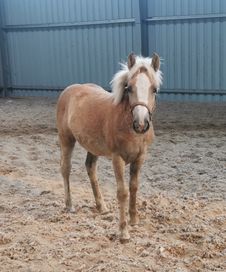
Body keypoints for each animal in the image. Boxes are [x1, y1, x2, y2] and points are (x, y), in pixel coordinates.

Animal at [56, 52, 162, 241]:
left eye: (154, 89)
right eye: (129, 88)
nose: (141, 124)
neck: (127, 124)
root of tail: (69, 89)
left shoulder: (140, 157)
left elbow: (134, 187)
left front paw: (134, 219)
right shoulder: (117, 158)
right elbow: (122, 192)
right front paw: (124, 232)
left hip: (92, 146)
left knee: (90, 168)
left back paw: (102, 207)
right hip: (66, 139)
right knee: (65, 169)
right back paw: (69, 206)